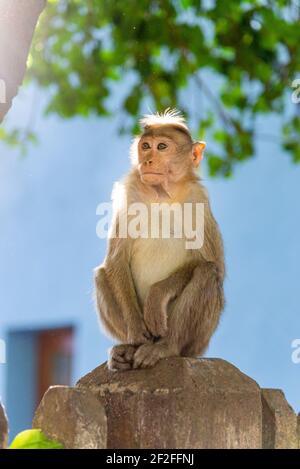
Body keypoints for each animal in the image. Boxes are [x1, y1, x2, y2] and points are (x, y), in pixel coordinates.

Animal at [94, 109, 225, 370]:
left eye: (162, 147)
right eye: (145, 146)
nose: (147, 161)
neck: (162, 194)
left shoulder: (198, 199)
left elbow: (211, 262)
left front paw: (156, 296)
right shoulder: (130, 192)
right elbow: (116, 259)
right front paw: (136, 329)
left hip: (199, 342)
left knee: (207, 272)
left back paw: (166, 347)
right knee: (102, 274)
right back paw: (128, 348)